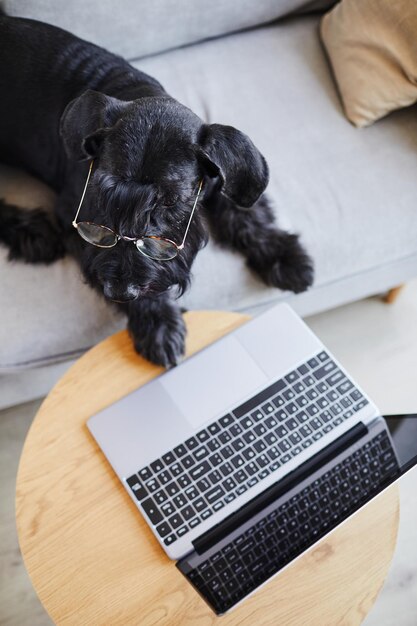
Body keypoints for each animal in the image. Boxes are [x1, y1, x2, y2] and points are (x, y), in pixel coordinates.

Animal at [0, 12, 312, 366]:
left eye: (171, 201)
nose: (120, 291)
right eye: (101, 193)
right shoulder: (74, 214)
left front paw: (285, 257)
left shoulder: (216, 176)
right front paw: (157, 323)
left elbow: (245, 215)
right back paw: (33, 233)